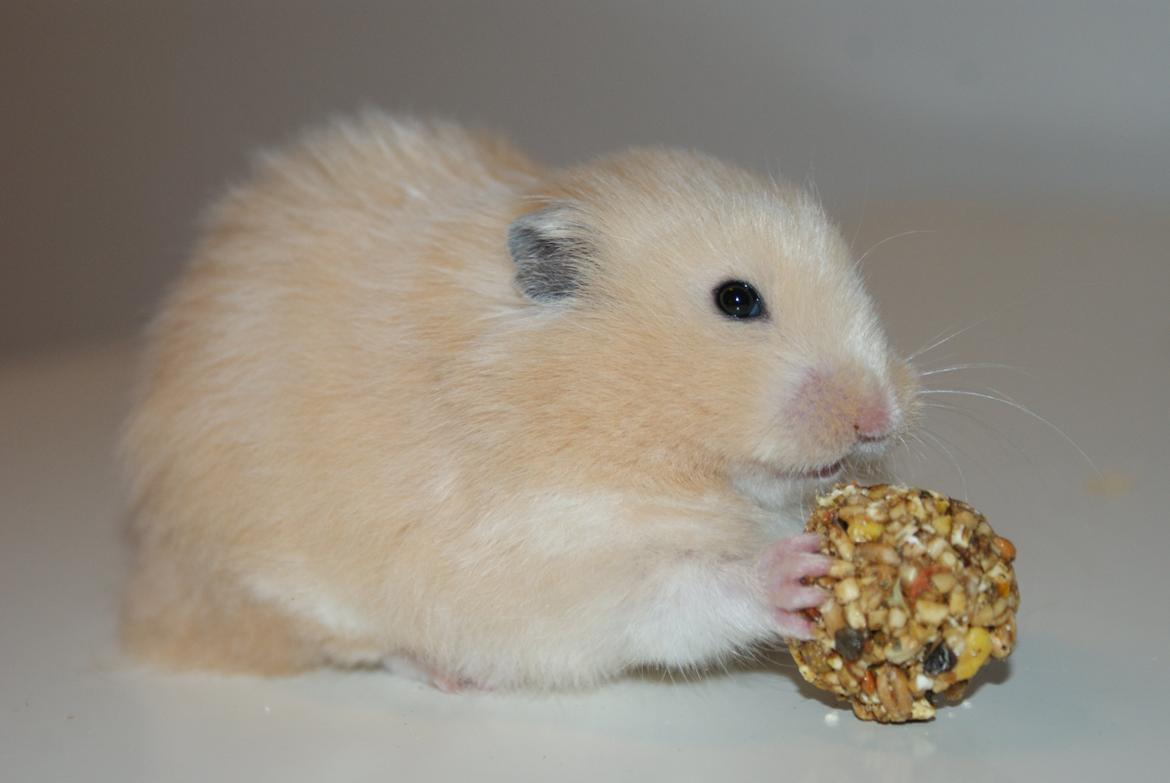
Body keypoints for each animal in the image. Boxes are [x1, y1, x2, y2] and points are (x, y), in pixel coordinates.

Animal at [120, 111, 918, 691]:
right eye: (737, 300)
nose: (879, 415)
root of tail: (150, 583)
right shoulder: (558, 553)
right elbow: (684, 591)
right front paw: (798, 574)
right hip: (279, 580)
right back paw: (447, 675)